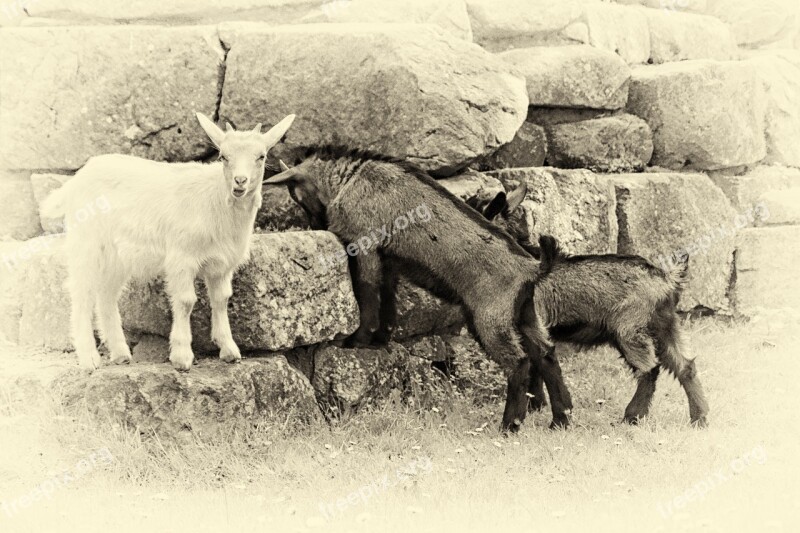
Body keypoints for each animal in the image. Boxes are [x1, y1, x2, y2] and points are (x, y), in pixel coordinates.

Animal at [41, 112, 296, 370]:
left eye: (261, 156)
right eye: (223, 157)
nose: (240, 181)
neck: (216, 200)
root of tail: (75, 180)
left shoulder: (222, 266)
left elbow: (221, 300)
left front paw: (229, 350)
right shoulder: (182, 258)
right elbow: (185, 301)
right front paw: (182, 356)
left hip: (118, 257)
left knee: (106, 295)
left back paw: (121, 353)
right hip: (87, 243)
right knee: (81, 293)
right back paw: (89, 358)